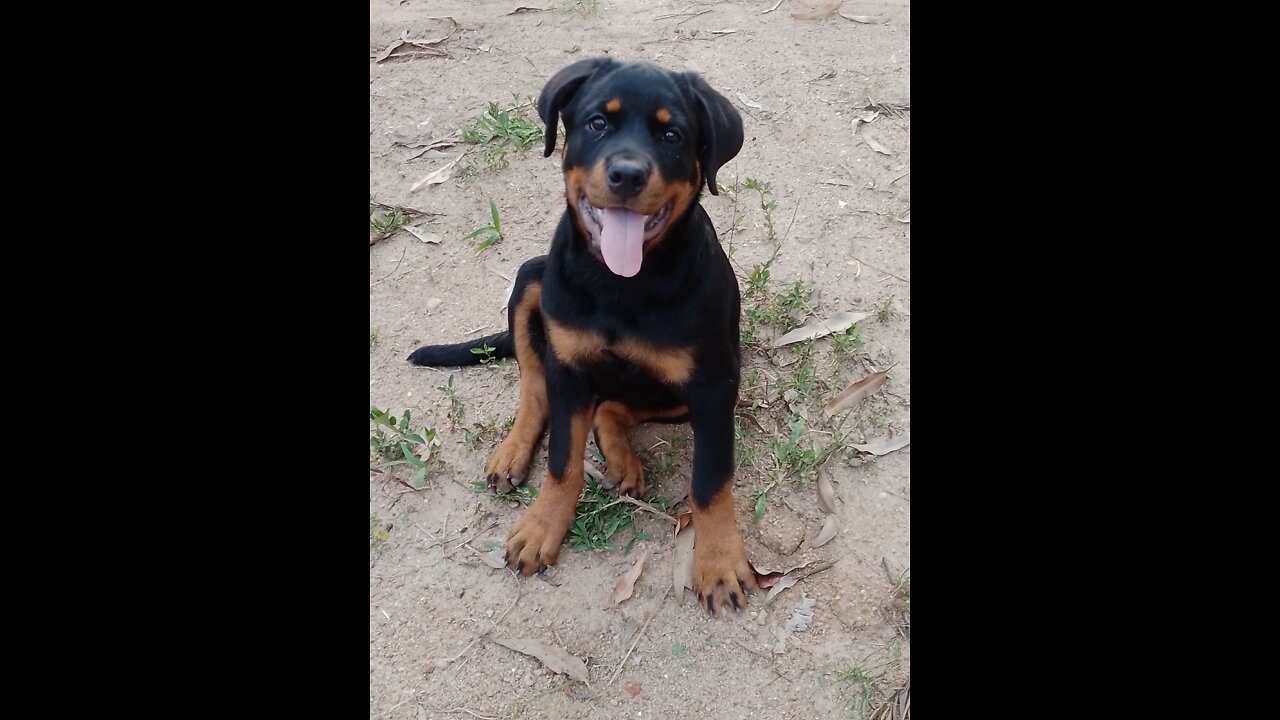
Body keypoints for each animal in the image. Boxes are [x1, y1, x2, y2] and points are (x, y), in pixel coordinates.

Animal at [404, 58, 752, 614]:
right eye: (597, 123)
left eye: (672, 134)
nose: (627, 174)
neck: (622, 284)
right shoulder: (567, 370)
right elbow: (562, 460)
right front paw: (542, 527)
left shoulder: (713, 385)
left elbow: (711, 481)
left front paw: (719, 562)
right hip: (531, 280)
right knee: (534, 387)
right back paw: (512, 453)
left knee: (611, 407)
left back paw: (622, 460)